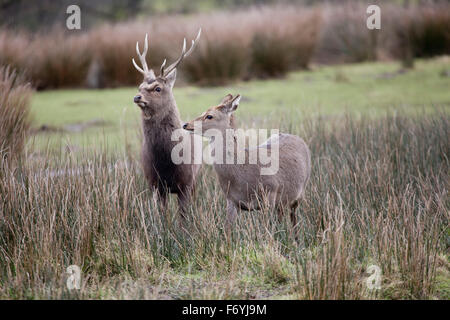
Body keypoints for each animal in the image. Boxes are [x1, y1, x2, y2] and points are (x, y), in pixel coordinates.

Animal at [132, 29, 202, 218]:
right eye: (140, 86)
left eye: (158, 88)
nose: (137, 97)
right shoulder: (154, 183)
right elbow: (161, 214)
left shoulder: (186, 182)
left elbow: (184, 216)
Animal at [182, 94, 310, 228]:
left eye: (209, 116)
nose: (185, 124)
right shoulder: (231, 200)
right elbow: (227, 229)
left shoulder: (270, 194)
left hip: (299, 193)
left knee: (293, 218)